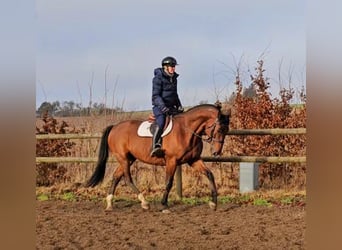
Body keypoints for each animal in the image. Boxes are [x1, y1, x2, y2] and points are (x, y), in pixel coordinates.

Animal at [85, 102, 230, 212]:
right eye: (219, 129)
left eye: (226, 130)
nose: (217, 152)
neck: (186, 130)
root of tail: (115, 127)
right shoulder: (172, 161)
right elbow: (169, 182)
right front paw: (164, 205)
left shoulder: (193, 160)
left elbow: (209, 174)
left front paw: (213, 203)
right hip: (123, 158)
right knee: (127, 178)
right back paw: (144, 202)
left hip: (129, 159)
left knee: (116, 176)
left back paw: (110, 204)